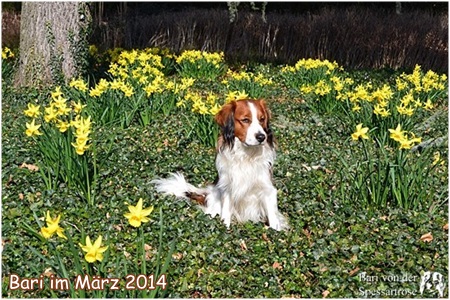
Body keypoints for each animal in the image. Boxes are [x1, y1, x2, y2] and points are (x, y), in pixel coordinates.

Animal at [152, 99, 288, 231]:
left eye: (262, 119)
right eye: (245, 120)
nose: (261, 137)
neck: (246, 155)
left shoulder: (267, 189)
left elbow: (273, 219)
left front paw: (275, 232)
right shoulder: (227, 189)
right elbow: (226, 214)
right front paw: (225, 230)